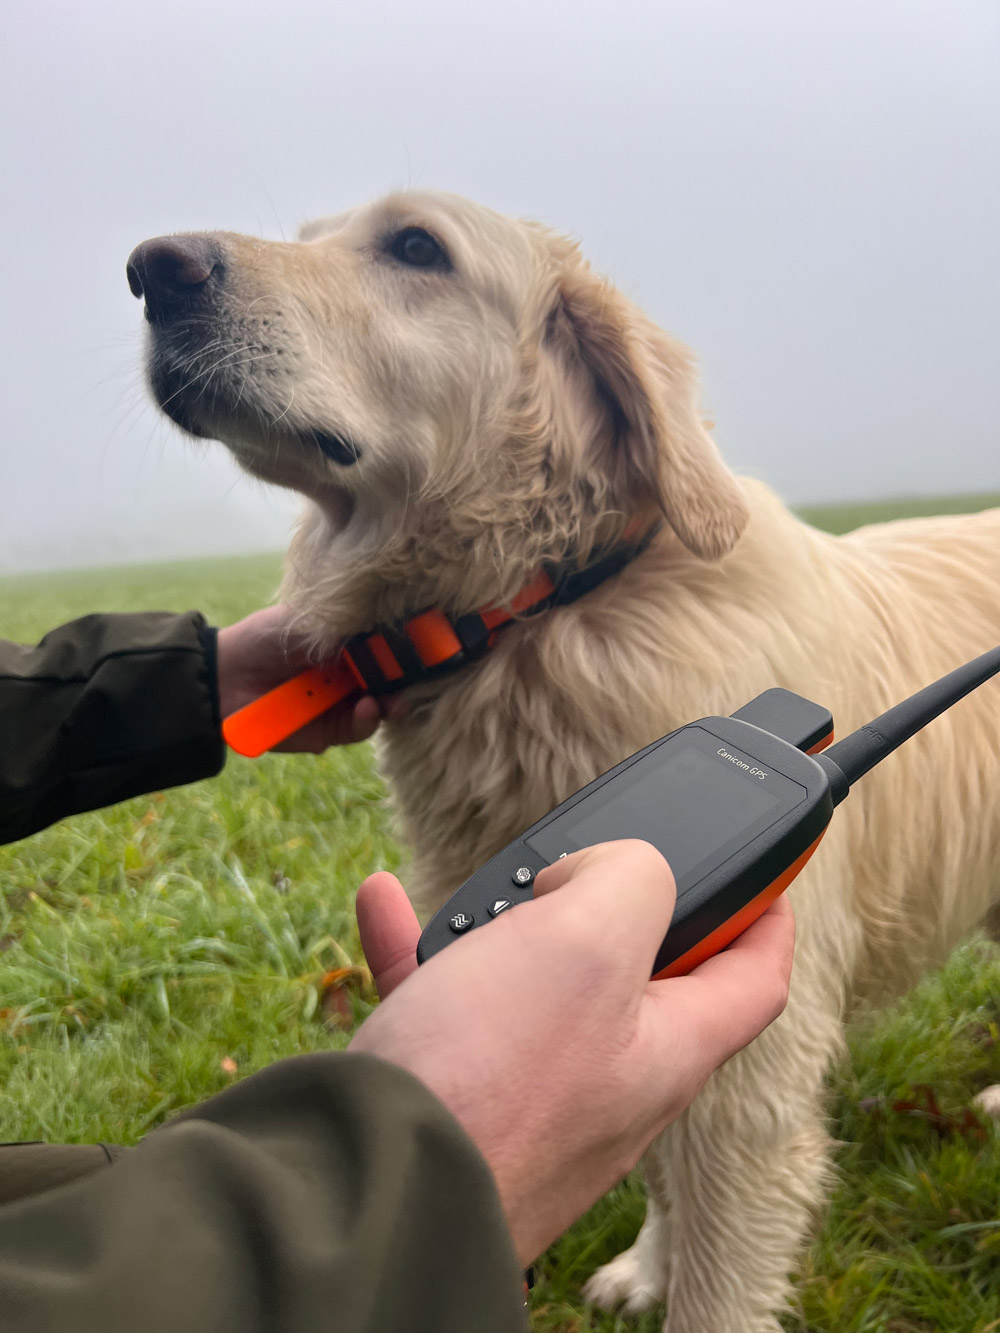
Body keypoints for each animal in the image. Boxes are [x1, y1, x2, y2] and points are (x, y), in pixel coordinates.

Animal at [129, 190, 997, 1333]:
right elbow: (657, 1147)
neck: (545, 609)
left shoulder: (754, 1072)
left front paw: (680, 1277)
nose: (153, 268)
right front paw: (649, 1262)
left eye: (417, 247)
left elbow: (717, 1271)